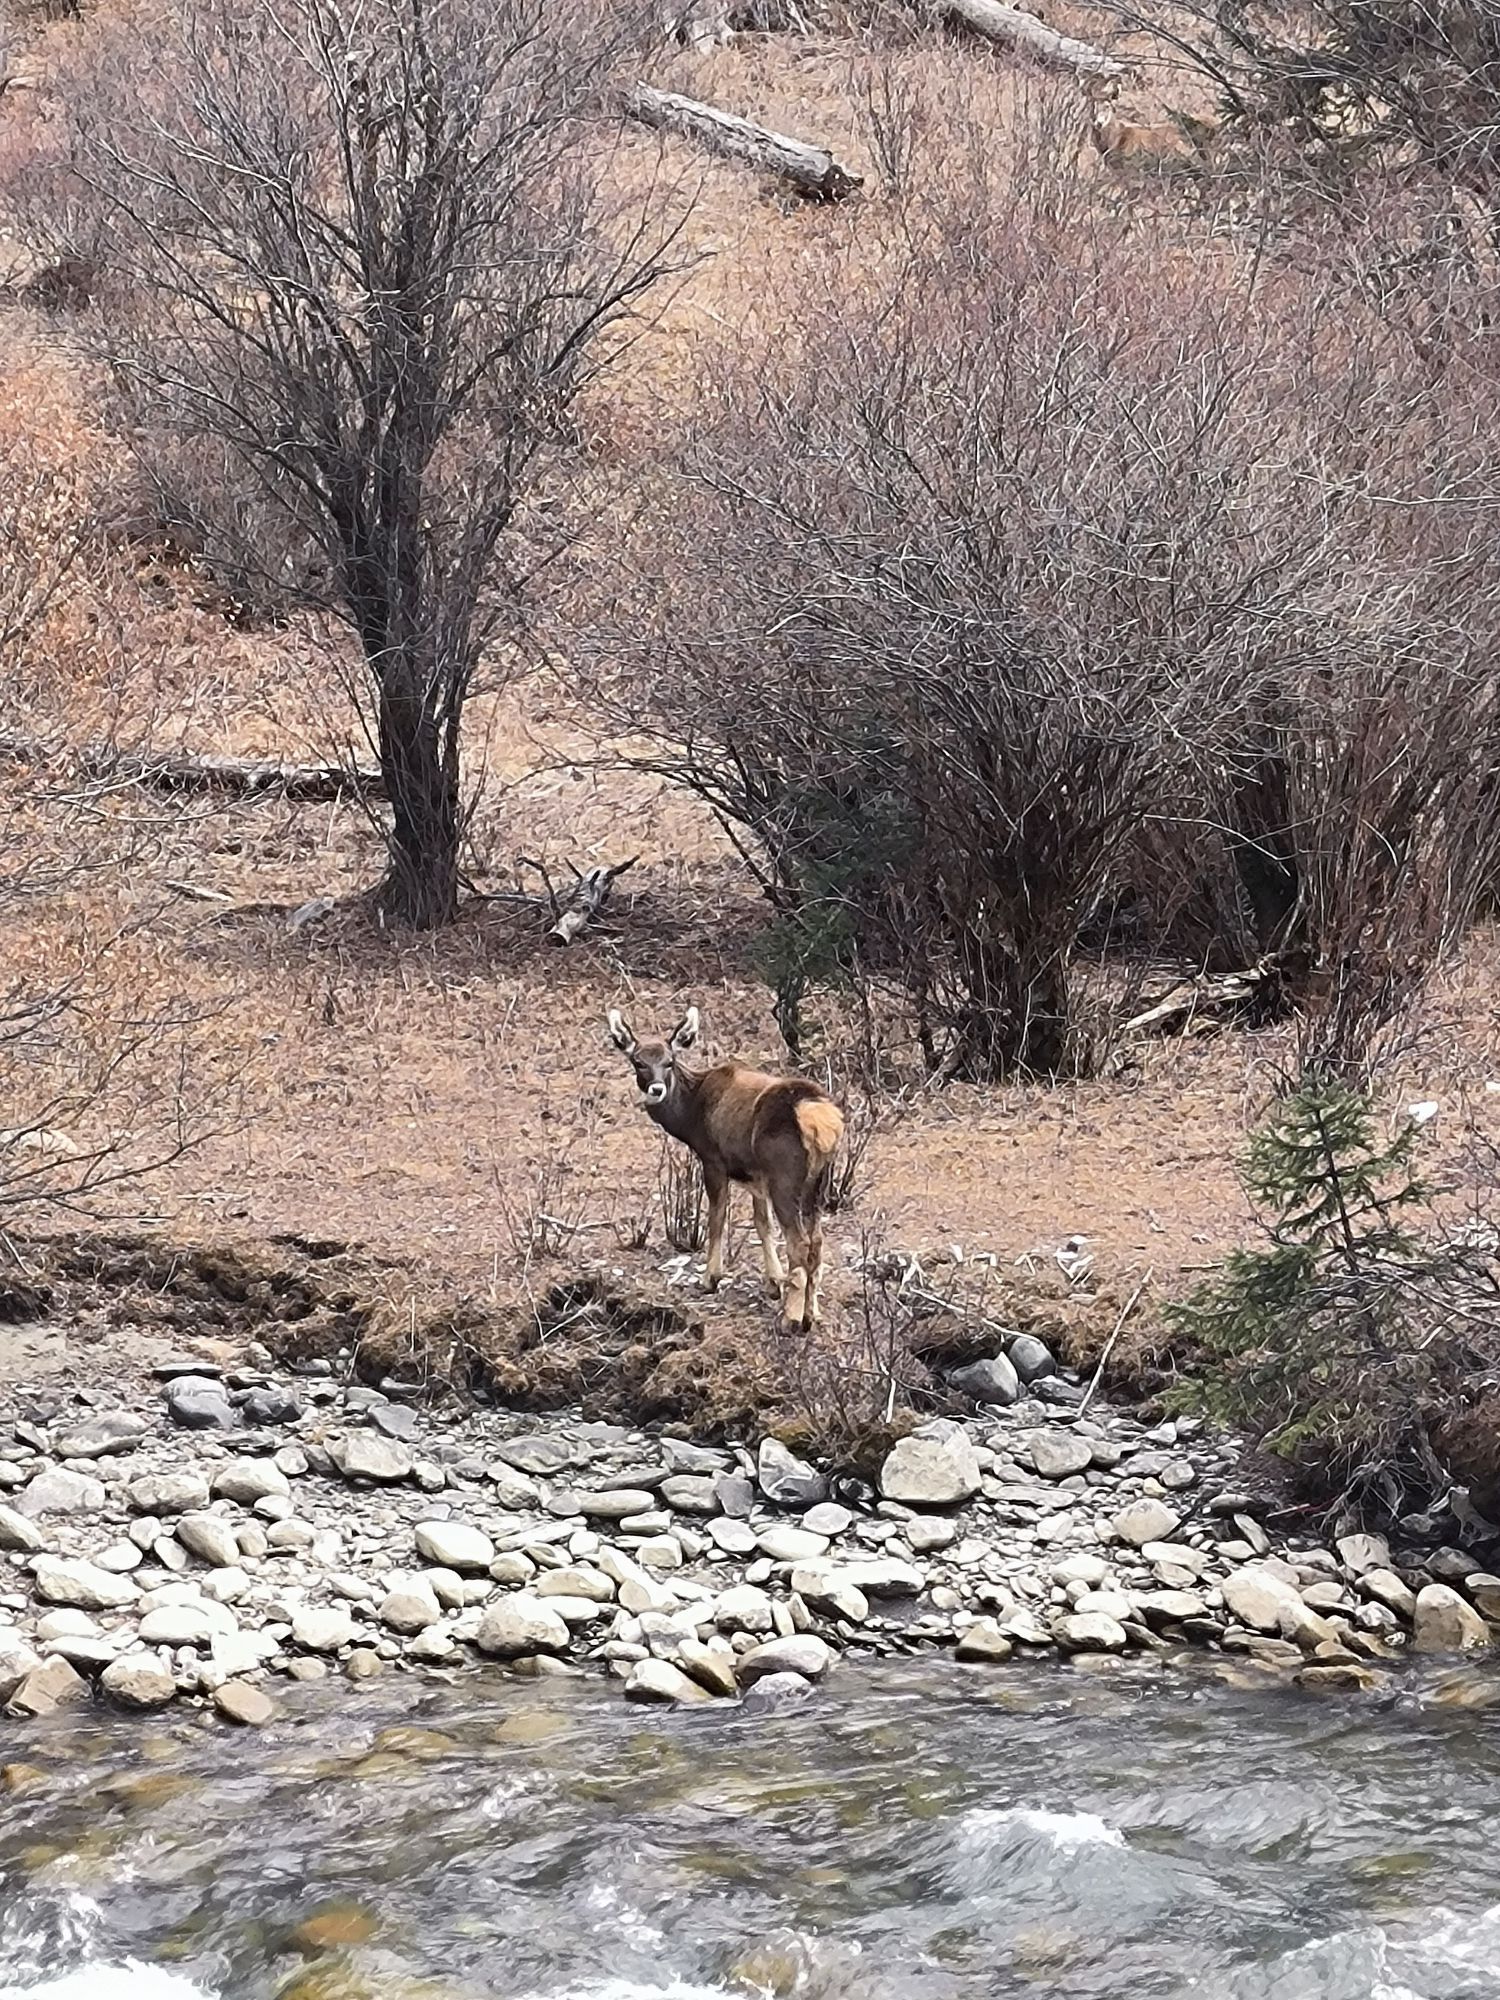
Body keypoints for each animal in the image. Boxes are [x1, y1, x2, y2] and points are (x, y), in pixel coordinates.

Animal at [606, 1005, 844, 1329]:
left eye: (670, 1062)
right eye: (638, 1061)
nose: (656, 1089)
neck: (690, 1117)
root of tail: (820, 1118)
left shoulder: (713, 1159)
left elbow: (716, 1218)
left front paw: (710, 1277)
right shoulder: (755, 1176)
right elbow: (762, 1223)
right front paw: (772, 1282)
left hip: (785, 1176)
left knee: (800, 1244)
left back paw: (791, 1319)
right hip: (818, 1183)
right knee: (817, 1242)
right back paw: (812, 1312)